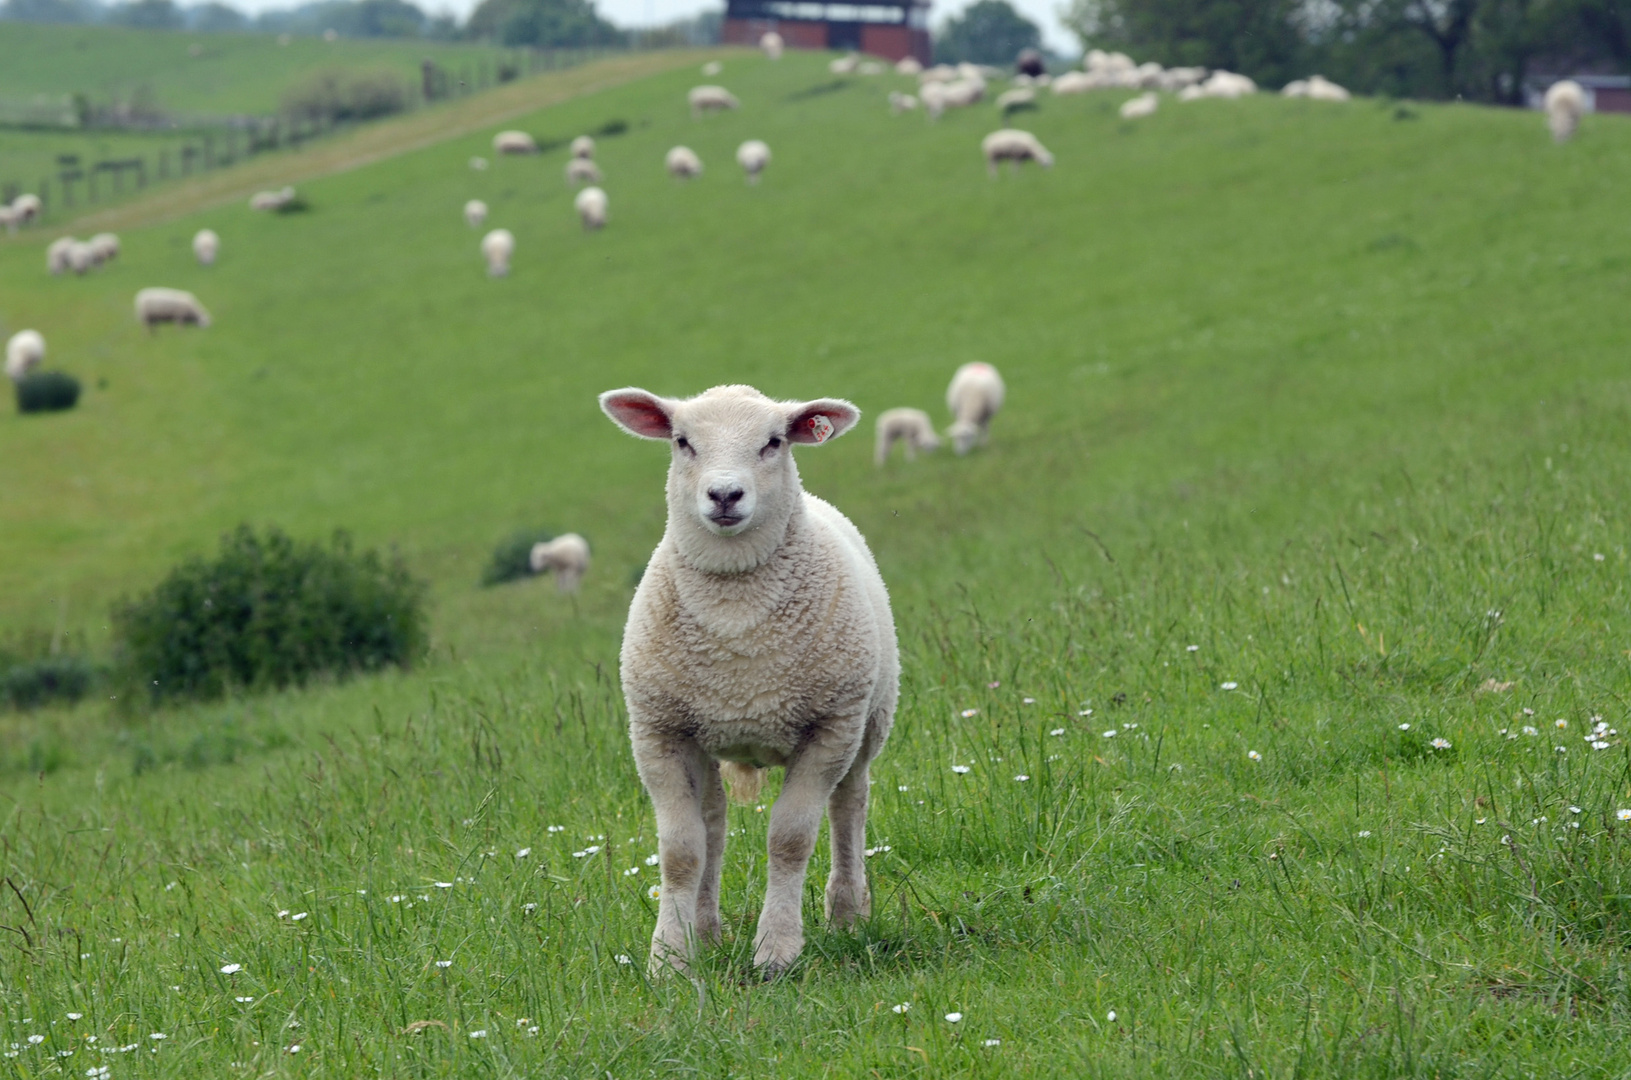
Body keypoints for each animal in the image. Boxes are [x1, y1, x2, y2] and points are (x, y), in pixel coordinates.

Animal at [603, 383, 906, 978]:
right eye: (682, 441)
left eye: (773, 442)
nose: (725, 495)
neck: (735, 614)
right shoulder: (658, 732)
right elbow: (681, 850)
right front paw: (669, 959)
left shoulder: (828, 729)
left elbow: (789, 839)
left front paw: (776, 951)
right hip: (706, 733)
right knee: (714, 823)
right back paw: (705, 930)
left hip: (866, 721)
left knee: (849, 806)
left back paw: (847, 914)